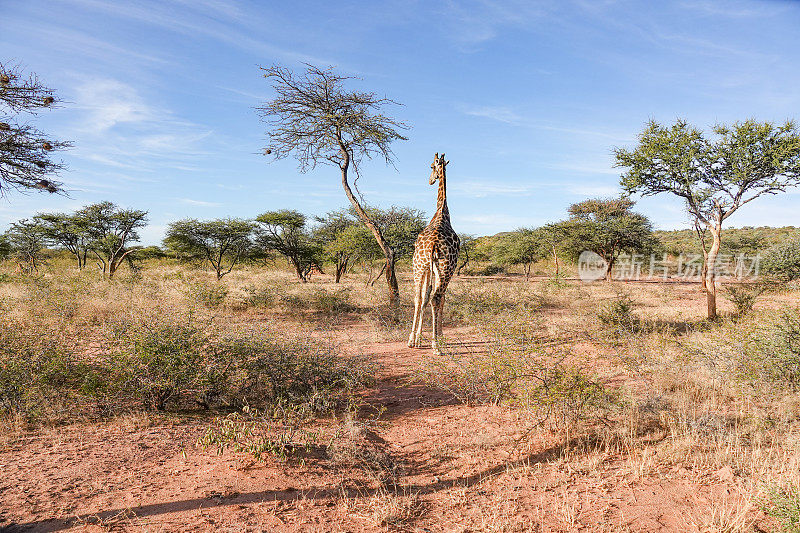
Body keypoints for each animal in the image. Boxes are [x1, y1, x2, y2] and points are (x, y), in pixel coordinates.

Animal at [410, 154, 460, 354]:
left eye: (431, 166)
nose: (430, 180)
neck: (442, 212)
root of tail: (432, 245)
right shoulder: (444, 269)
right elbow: (442, 299)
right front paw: (441, 337)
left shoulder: (429, 268)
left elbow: (424, 297)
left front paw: (418, 339)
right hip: (445, 268)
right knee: (436, 297)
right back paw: (436, 345)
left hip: (419, 266)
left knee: (419, 297)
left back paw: (412, 340)